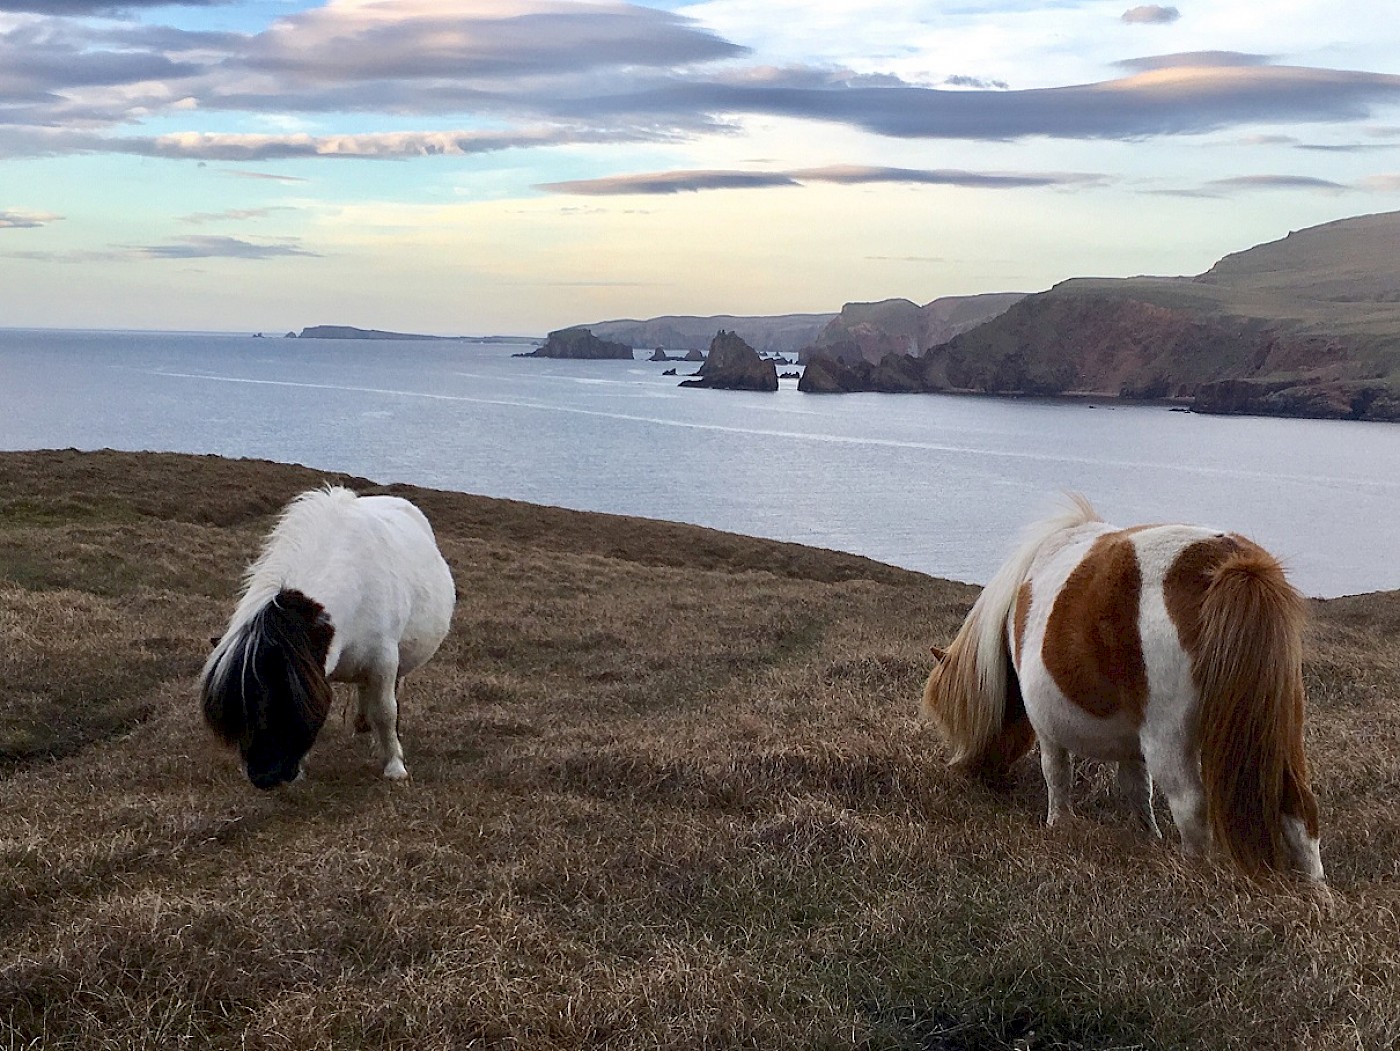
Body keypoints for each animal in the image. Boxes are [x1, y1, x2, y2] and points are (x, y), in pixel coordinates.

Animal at [200, 484, 453, 789]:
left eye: (273, 702)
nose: (263, 778)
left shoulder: (383, 661)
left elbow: (386, 711)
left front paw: (395, 767)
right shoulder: (318, 666)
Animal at [918, 498, 1321, 884]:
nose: (977, 778)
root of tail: (1234, 563)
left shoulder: (1047, 727)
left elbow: (1056, 774)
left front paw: (1058, 825)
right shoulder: (1132, 740)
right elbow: (1136, 788)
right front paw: (1146, 836)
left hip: (1169, 741)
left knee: (1192, 808)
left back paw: (1196, 875)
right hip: (1279, 728)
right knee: (1300, 810)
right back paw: (1317, 893)